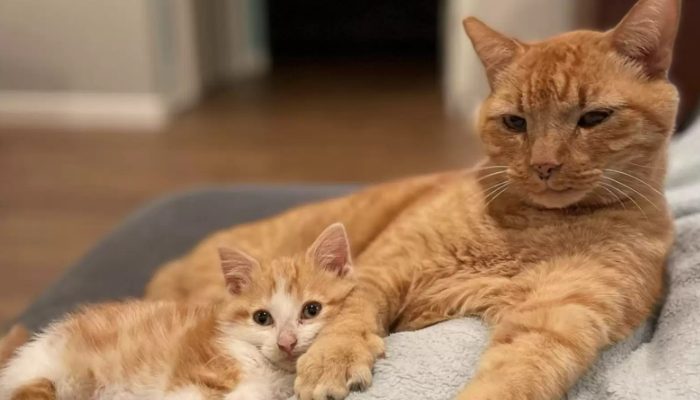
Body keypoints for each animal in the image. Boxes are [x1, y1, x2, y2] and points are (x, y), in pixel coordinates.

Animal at [146, 0, 680, 396]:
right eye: (515, 122)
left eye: (594, 118)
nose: (544, 165)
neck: (530, 230)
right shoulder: (384, 268)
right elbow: (351, 314)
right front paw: (331, 360)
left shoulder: (558, 317)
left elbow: (517, 373)